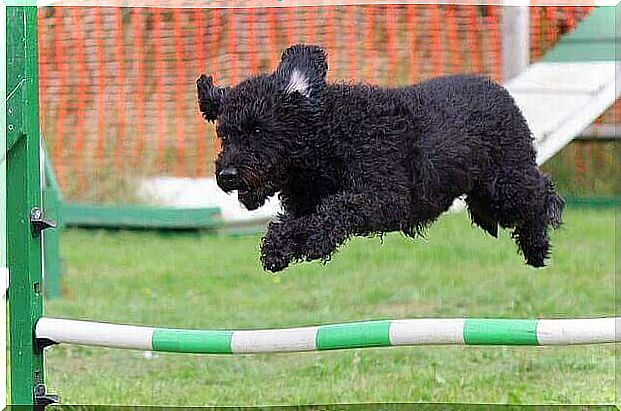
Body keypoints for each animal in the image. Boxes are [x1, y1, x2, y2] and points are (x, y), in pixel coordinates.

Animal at [197, 44, 560, 274]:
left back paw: (537, 244)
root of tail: (500, 92)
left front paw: (313, 241)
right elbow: (294, 221)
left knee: (541, 192)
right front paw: (278, 247)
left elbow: (337, 209)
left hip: (504, 185)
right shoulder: (305, 204)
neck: (327, 137)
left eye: (258, 130)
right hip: (484, 195)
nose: (227, 175)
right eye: (224, 134)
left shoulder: (387, 197)